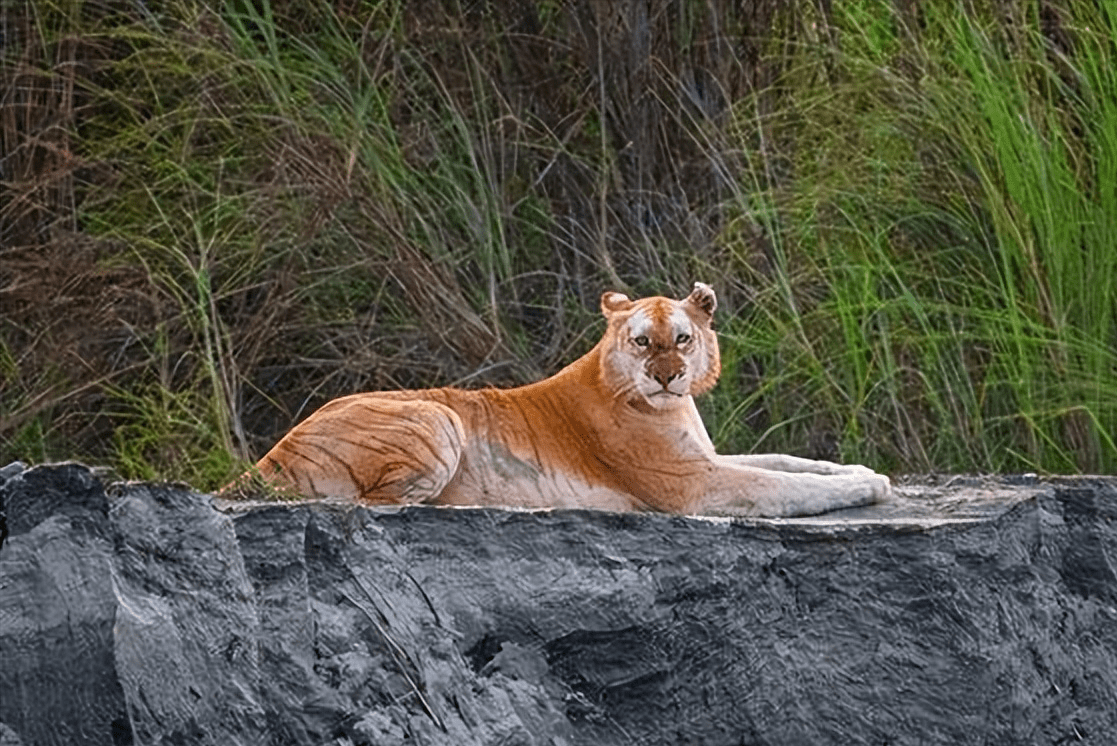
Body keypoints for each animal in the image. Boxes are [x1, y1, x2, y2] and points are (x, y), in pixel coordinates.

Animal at [237, 282, 889, 515]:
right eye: (642, 340)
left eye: (682, 337)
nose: (668, 376)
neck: (668, 406)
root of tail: (268, 456)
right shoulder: (694, 485)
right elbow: (788, 485)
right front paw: (869, 487)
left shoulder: (705, 458)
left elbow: (792, 462)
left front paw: (862, 469)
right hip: (439, 415)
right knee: (377, 505)